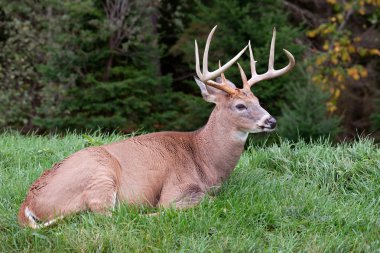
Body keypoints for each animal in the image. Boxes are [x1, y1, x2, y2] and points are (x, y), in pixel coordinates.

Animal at [18, 25, 294, 227]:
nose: (271, 121)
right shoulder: (176, 186)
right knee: (108, 217)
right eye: (240, 106)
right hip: (100, 176)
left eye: (258, 100)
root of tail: (27, 205)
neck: (205, 160)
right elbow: (204, 201)